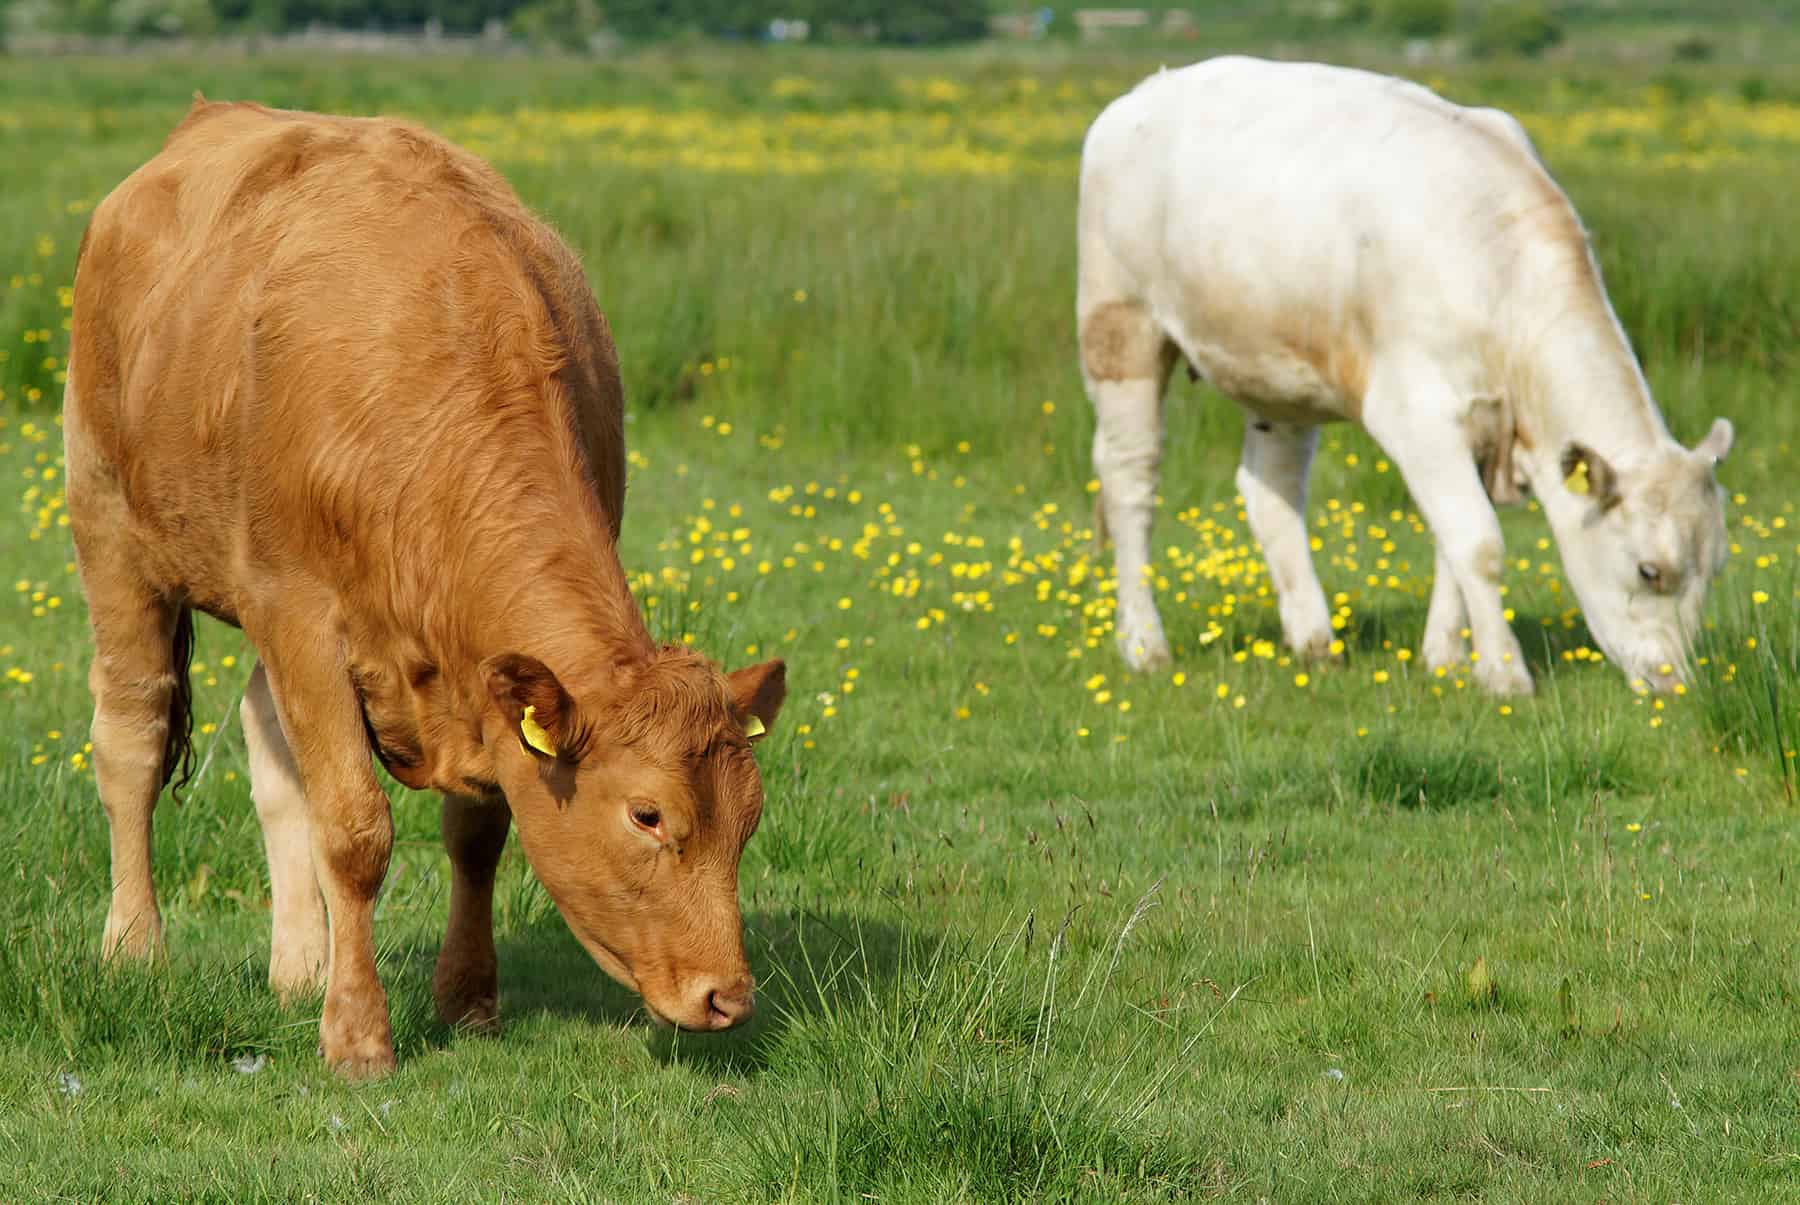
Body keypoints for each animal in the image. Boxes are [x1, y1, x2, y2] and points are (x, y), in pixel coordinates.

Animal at [64, 96, 786, 1079]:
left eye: (748, 818)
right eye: (648, 815)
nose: (728, 996)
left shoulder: (479, 672)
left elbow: (475, 834)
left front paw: (467, 998)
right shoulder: (299, 610)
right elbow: (354, 827)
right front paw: (358, 1034)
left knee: (268, 743)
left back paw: (301, 964)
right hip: (110, 527)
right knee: (133, 736)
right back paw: (135, 946)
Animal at [1078, 56, 1734, 696]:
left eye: (1717, 567)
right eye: (1651, 571)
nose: (1676, 683)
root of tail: (1145, 92)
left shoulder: (1477, 426)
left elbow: (1452, 543)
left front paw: (1447, 658)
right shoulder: (1415, 414)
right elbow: (1480, 543)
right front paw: (1504, 674)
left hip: (1278, 368)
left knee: (1271, 488)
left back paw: (1313, 640)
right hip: (1120, 328)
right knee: (1130, 480)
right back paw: (1144, 646)